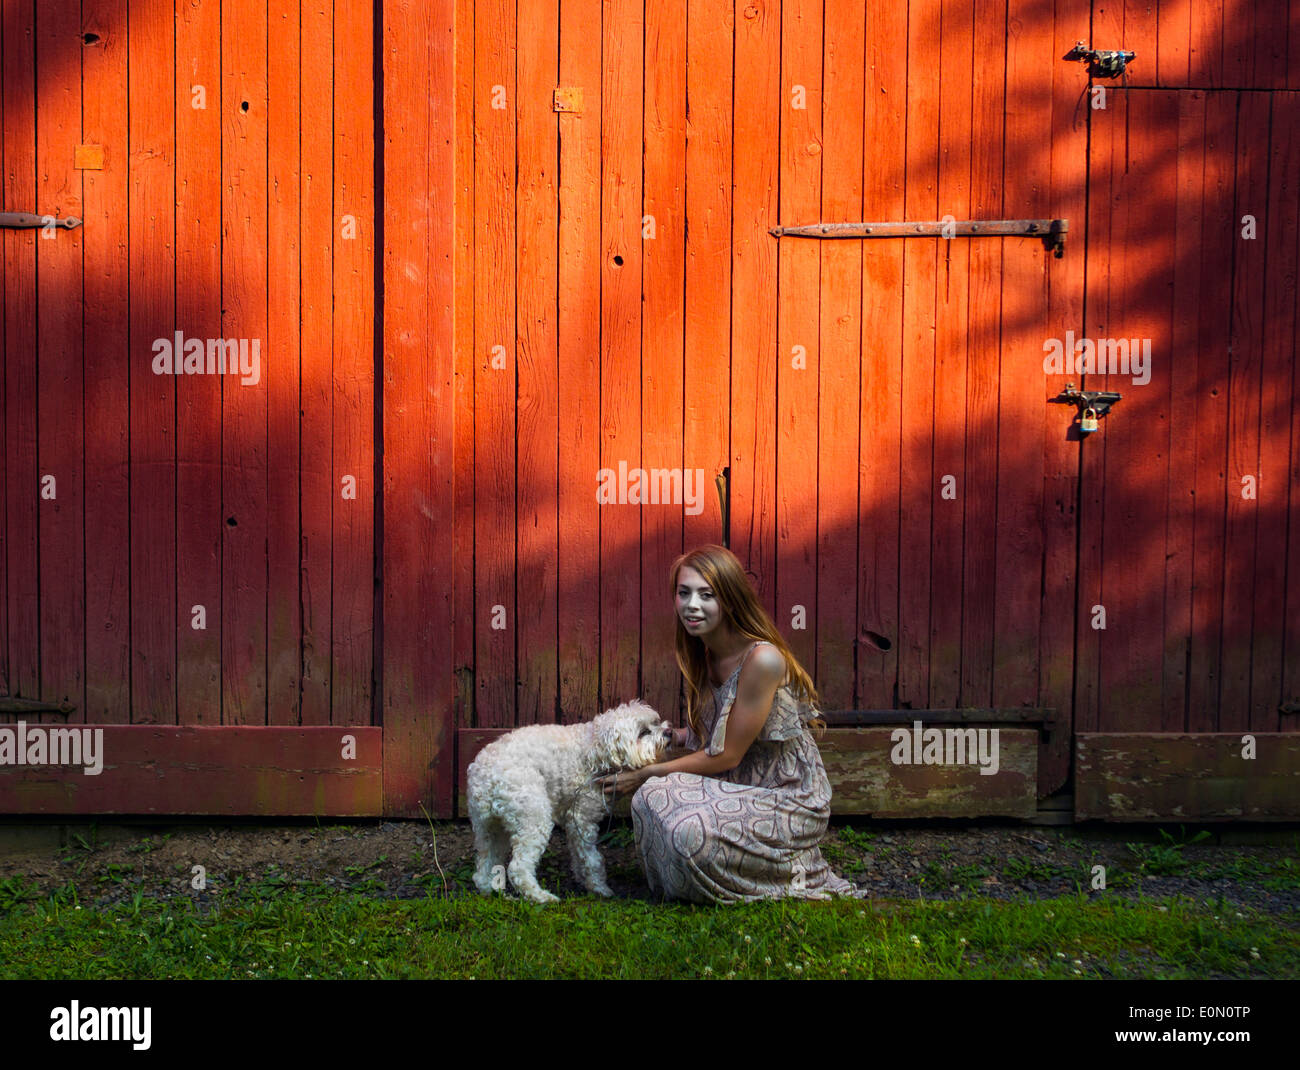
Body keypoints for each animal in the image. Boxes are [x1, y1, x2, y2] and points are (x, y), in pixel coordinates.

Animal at [467, 702, 670, 904]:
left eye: (656, 722)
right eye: (643, 732)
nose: (669, 731)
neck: (595, 749)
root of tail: (486, 775)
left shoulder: (572, 822)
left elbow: (578, 854)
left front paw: (583, 880)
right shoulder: (582, 820)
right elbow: (592, 859)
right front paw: (599, 888)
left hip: (490, 829)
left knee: (483, 870)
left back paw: (496, 894)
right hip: (533, 819)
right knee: (518, 869)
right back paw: (541, 897)